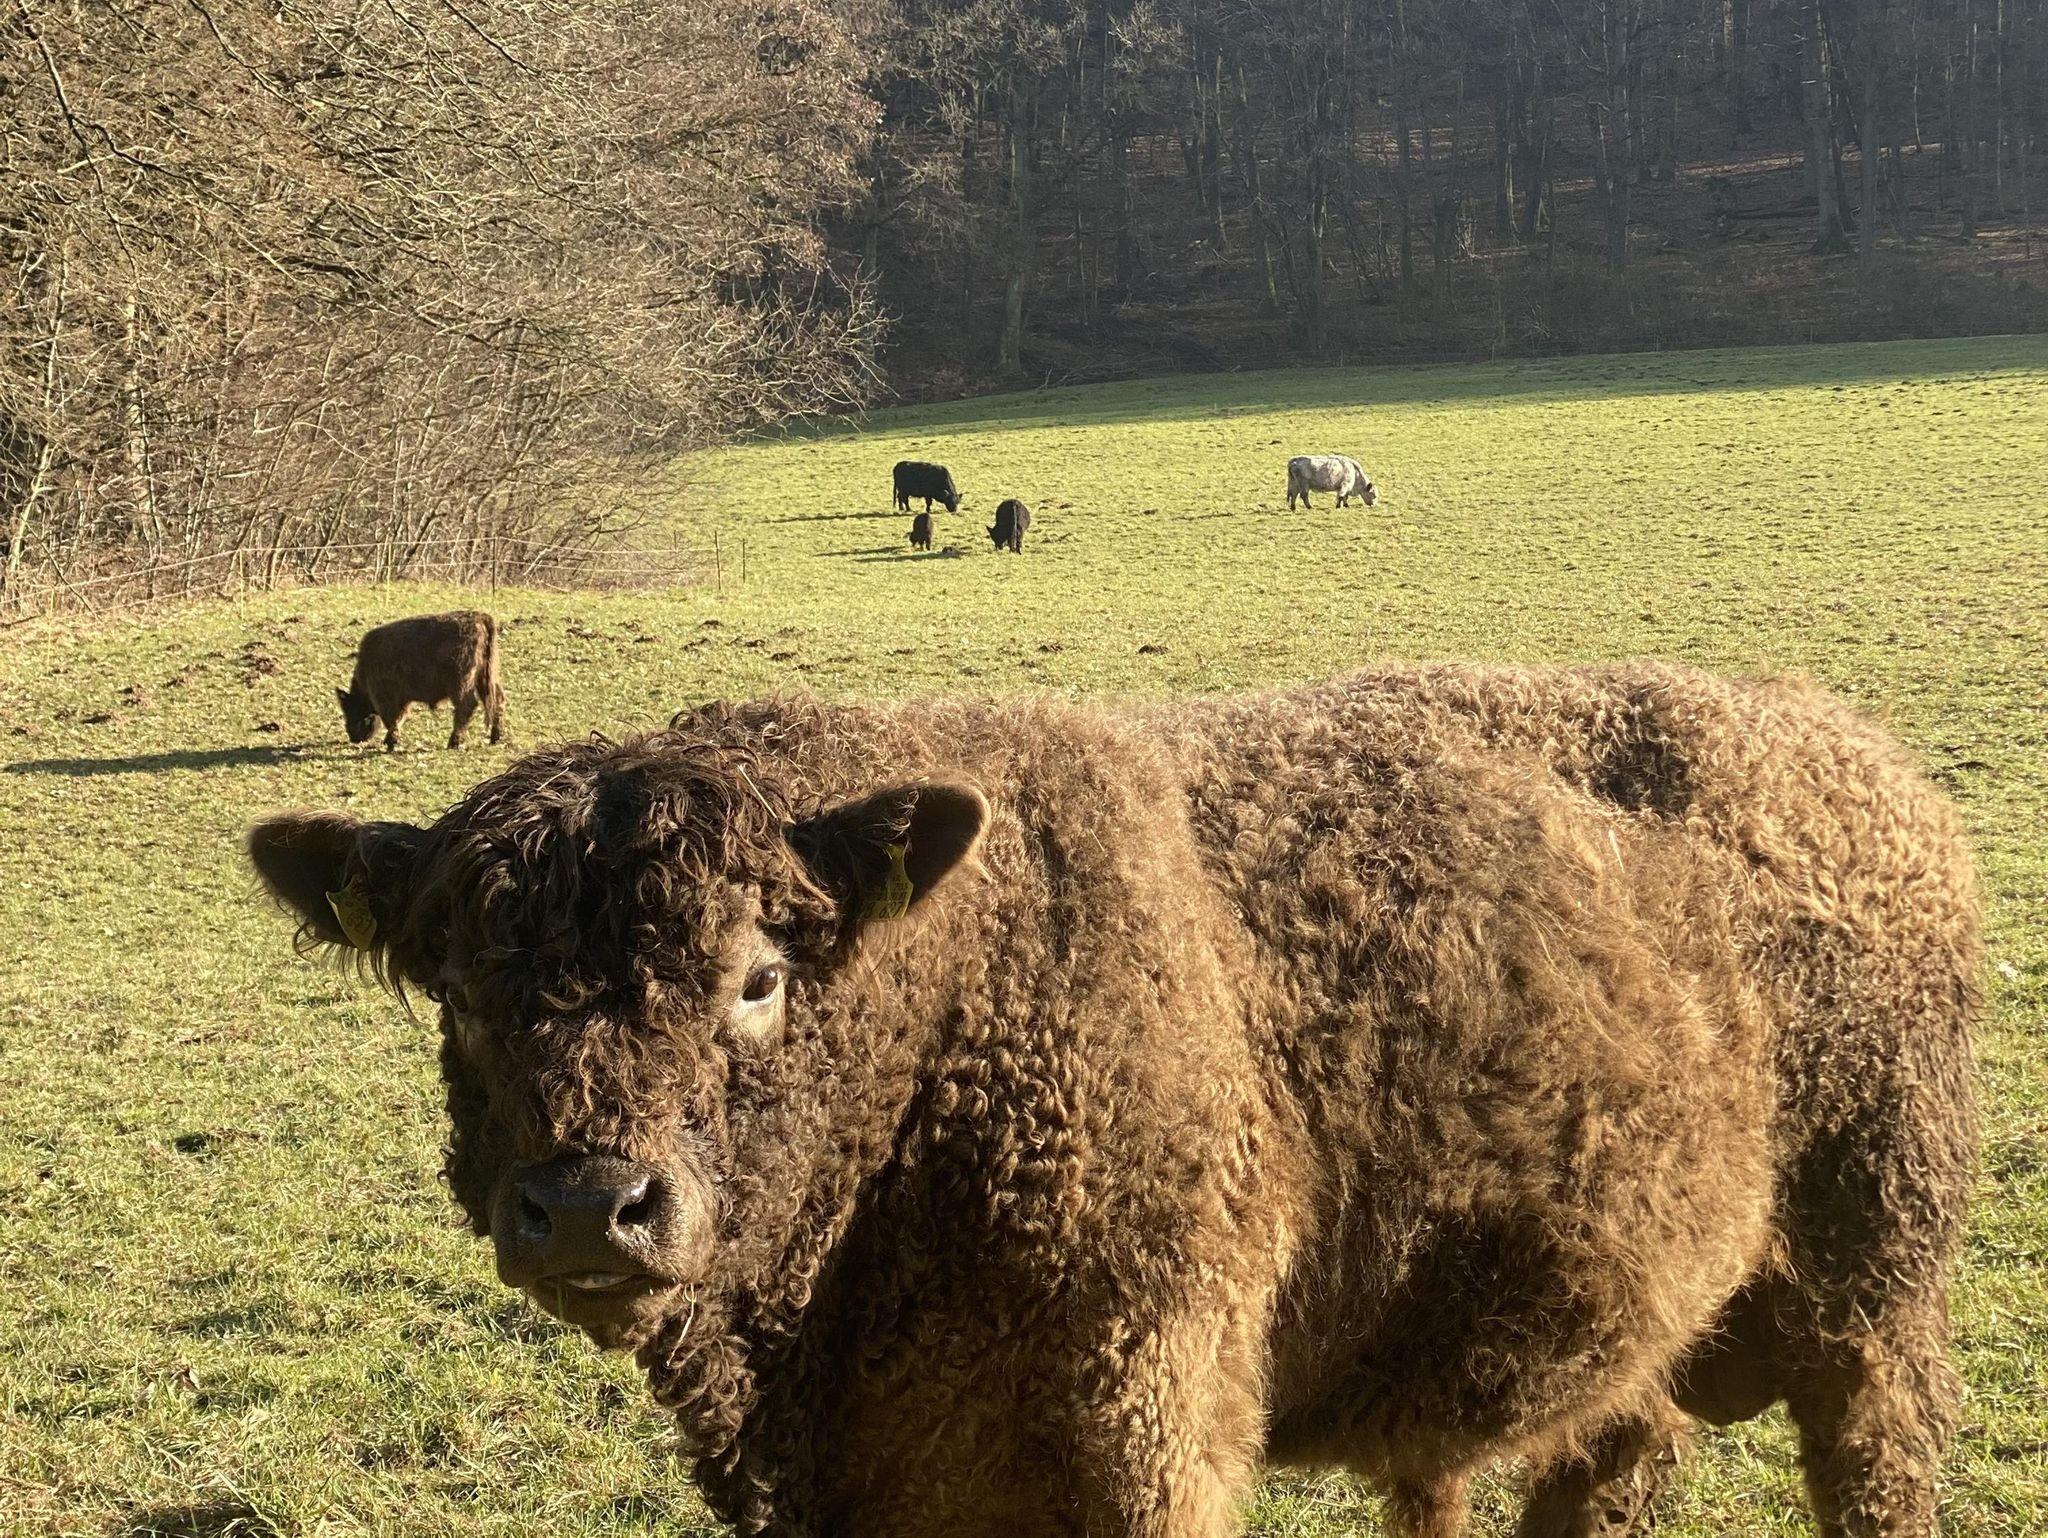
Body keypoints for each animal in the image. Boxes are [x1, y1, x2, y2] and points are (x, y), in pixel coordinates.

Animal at [248, 663, 1976, 1538]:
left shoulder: (1148, 1426)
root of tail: (1859, 754)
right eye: (457, 989)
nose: (587, 1205)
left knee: (1877, 1462)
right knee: (1616, 1458)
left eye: (759, 974)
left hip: (1871, 1290)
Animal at [335, 610, 506, 752]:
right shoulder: (404, 699)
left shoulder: (385, 698)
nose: (353, 737)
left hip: (461, 684)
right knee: (498, 700)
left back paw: (453, 743)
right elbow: (399, 717)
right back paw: (496, 739)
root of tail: (480, 617)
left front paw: (391, 743)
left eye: (351, 709)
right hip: (488, 678)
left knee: (467, 706)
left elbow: (392, 719)